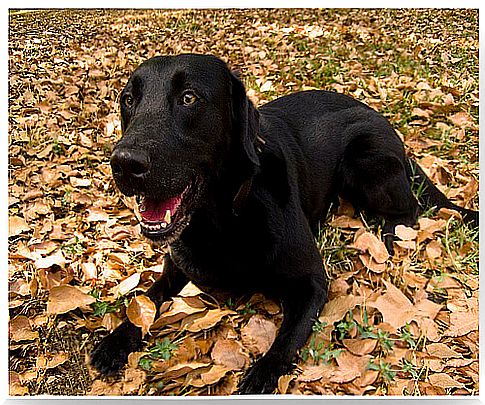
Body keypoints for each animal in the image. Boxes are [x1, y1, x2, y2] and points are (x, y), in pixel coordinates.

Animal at [90, 52, 476, 392]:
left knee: (410, 210)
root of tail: (383, 121)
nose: (124, 163)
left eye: (188, 98)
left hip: (365, 160)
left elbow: (288, 337)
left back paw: (392, 234)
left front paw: (262, 373)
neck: (223, 220)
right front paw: (115, 340)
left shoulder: (312, 283)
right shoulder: (174, 269)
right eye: (128, 100)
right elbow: (147, 298)